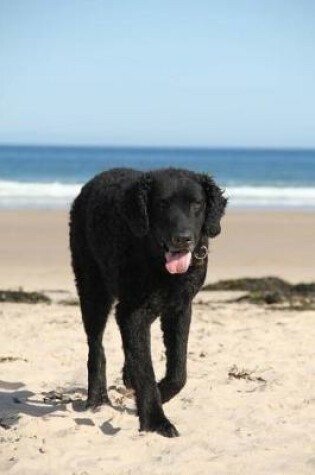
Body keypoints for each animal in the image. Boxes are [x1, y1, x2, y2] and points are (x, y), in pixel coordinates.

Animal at [69, 167, 227, 438]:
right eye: (162, 204)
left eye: (197, 204)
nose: (182, 239)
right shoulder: (133, 312)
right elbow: (146, 371)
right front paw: (156, 420)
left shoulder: (180, 308)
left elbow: (178, 371)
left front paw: (161, 394)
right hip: (93, 290)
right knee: (96, 347)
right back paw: (97, 398)